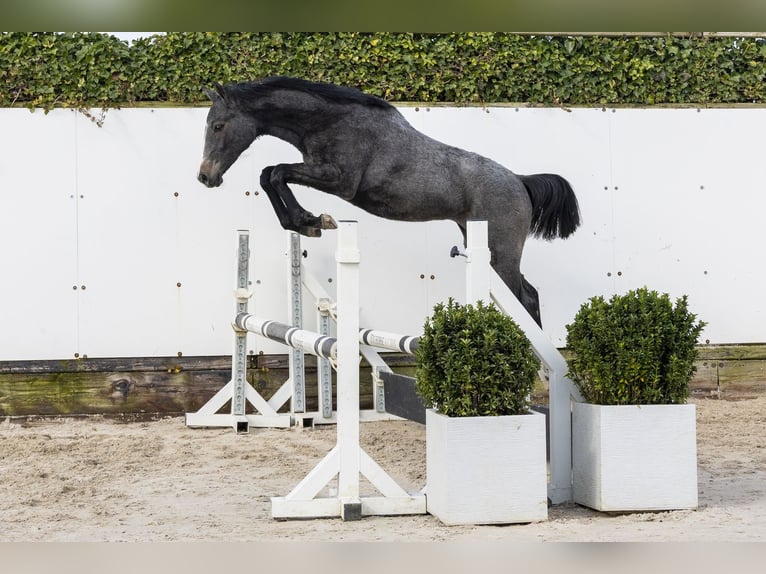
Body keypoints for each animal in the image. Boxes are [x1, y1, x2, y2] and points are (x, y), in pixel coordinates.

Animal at [197, 76, 580, 326]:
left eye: (218, 126)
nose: (205, 177)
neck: (329, 121)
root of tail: (519, 181)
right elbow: (269, 174)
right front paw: (305, 223)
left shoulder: (339, 180)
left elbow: (276, 173)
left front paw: (312, 221)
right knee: (528, 294)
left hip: (501, 254)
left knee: (523, 297)